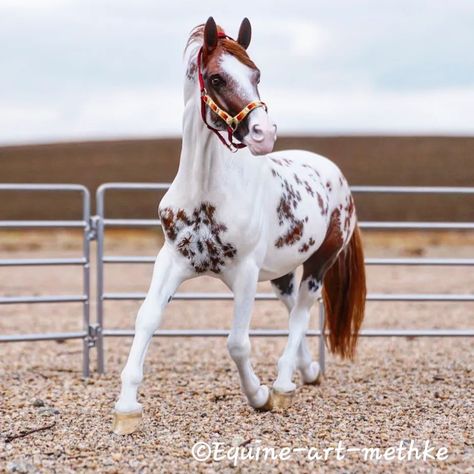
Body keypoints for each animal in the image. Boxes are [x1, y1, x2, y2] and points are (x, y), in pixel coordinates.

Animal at [112, 16, 366, 436]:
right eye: (216, 78)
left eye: (256, 74)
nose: (264, 134)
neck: (206, 192)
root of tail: (335, 174)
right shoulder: (171, 261)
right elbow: (146, 318)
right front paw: (127, 408)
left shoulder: (244, 272)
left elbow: (237, 343)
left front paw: (259, 396)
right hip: (282, 272)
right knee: (291, 306)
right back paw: (308, 370)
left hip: (320, 263)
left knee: (301, 312)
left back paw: (282, 385)